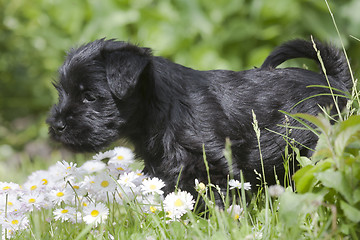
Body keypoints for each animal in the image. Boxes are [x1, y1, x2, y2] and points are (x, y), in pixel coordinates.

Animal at [46, 39, 350, 197]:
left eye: (89, 96)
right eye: (62, 92)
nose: (56, 126)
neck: (161, 111)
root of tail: (334, 82)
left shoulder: (214, 166)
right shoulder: (165, 170)